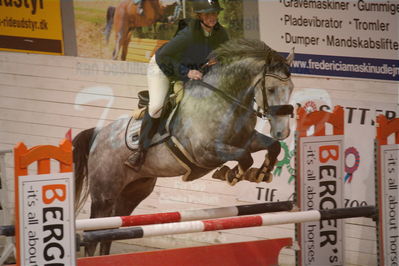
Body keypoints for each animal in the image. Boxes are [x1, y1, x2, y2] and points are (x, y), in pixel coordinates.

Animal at [73, 38, 296, 256]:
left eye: (292, 88)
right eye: (271, 89)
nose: (283, 131)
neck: (224, 100)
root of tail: (98, 135)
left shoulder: (247, 139)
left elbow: (272, 147)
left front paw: (260, 173)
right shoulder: (204, 153)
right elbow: (245, 157)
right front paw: (232, 174)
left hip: (133, 192)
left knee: (110, 233)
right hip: (104, 195)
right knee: (93, 236)